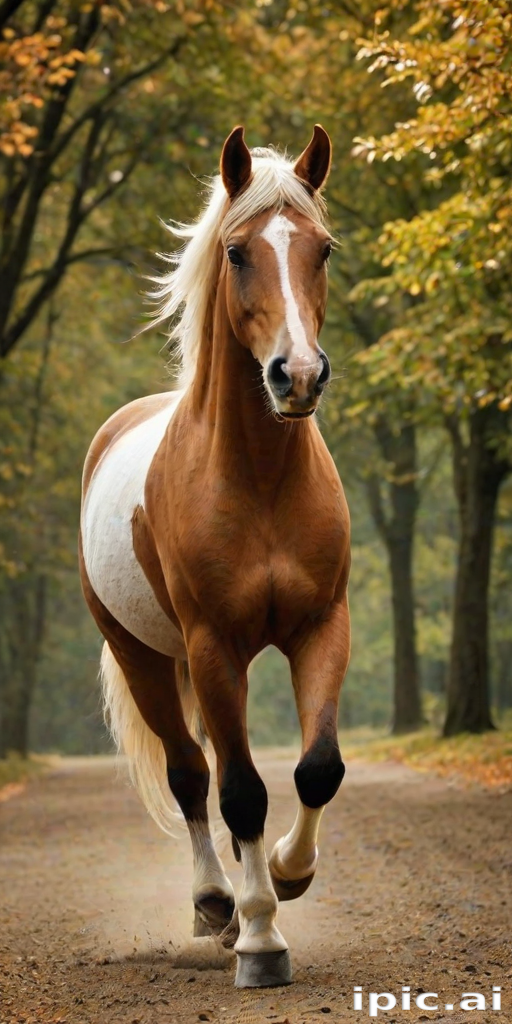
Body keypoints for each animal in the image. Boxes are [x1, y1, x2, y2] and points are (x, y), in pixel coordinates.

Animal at [79, 125, 351, 989]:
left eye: (322, 249)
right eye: (236, 252)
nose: (297, 376)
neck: (258, 477)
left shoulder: (322, 628)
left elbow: (316, 768)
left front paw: (291, 875)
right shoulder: (212, 649)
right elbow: (237, 792)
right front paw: (262, 937)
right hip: (144, 656)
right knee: (193, 776)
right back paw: (216, 904)